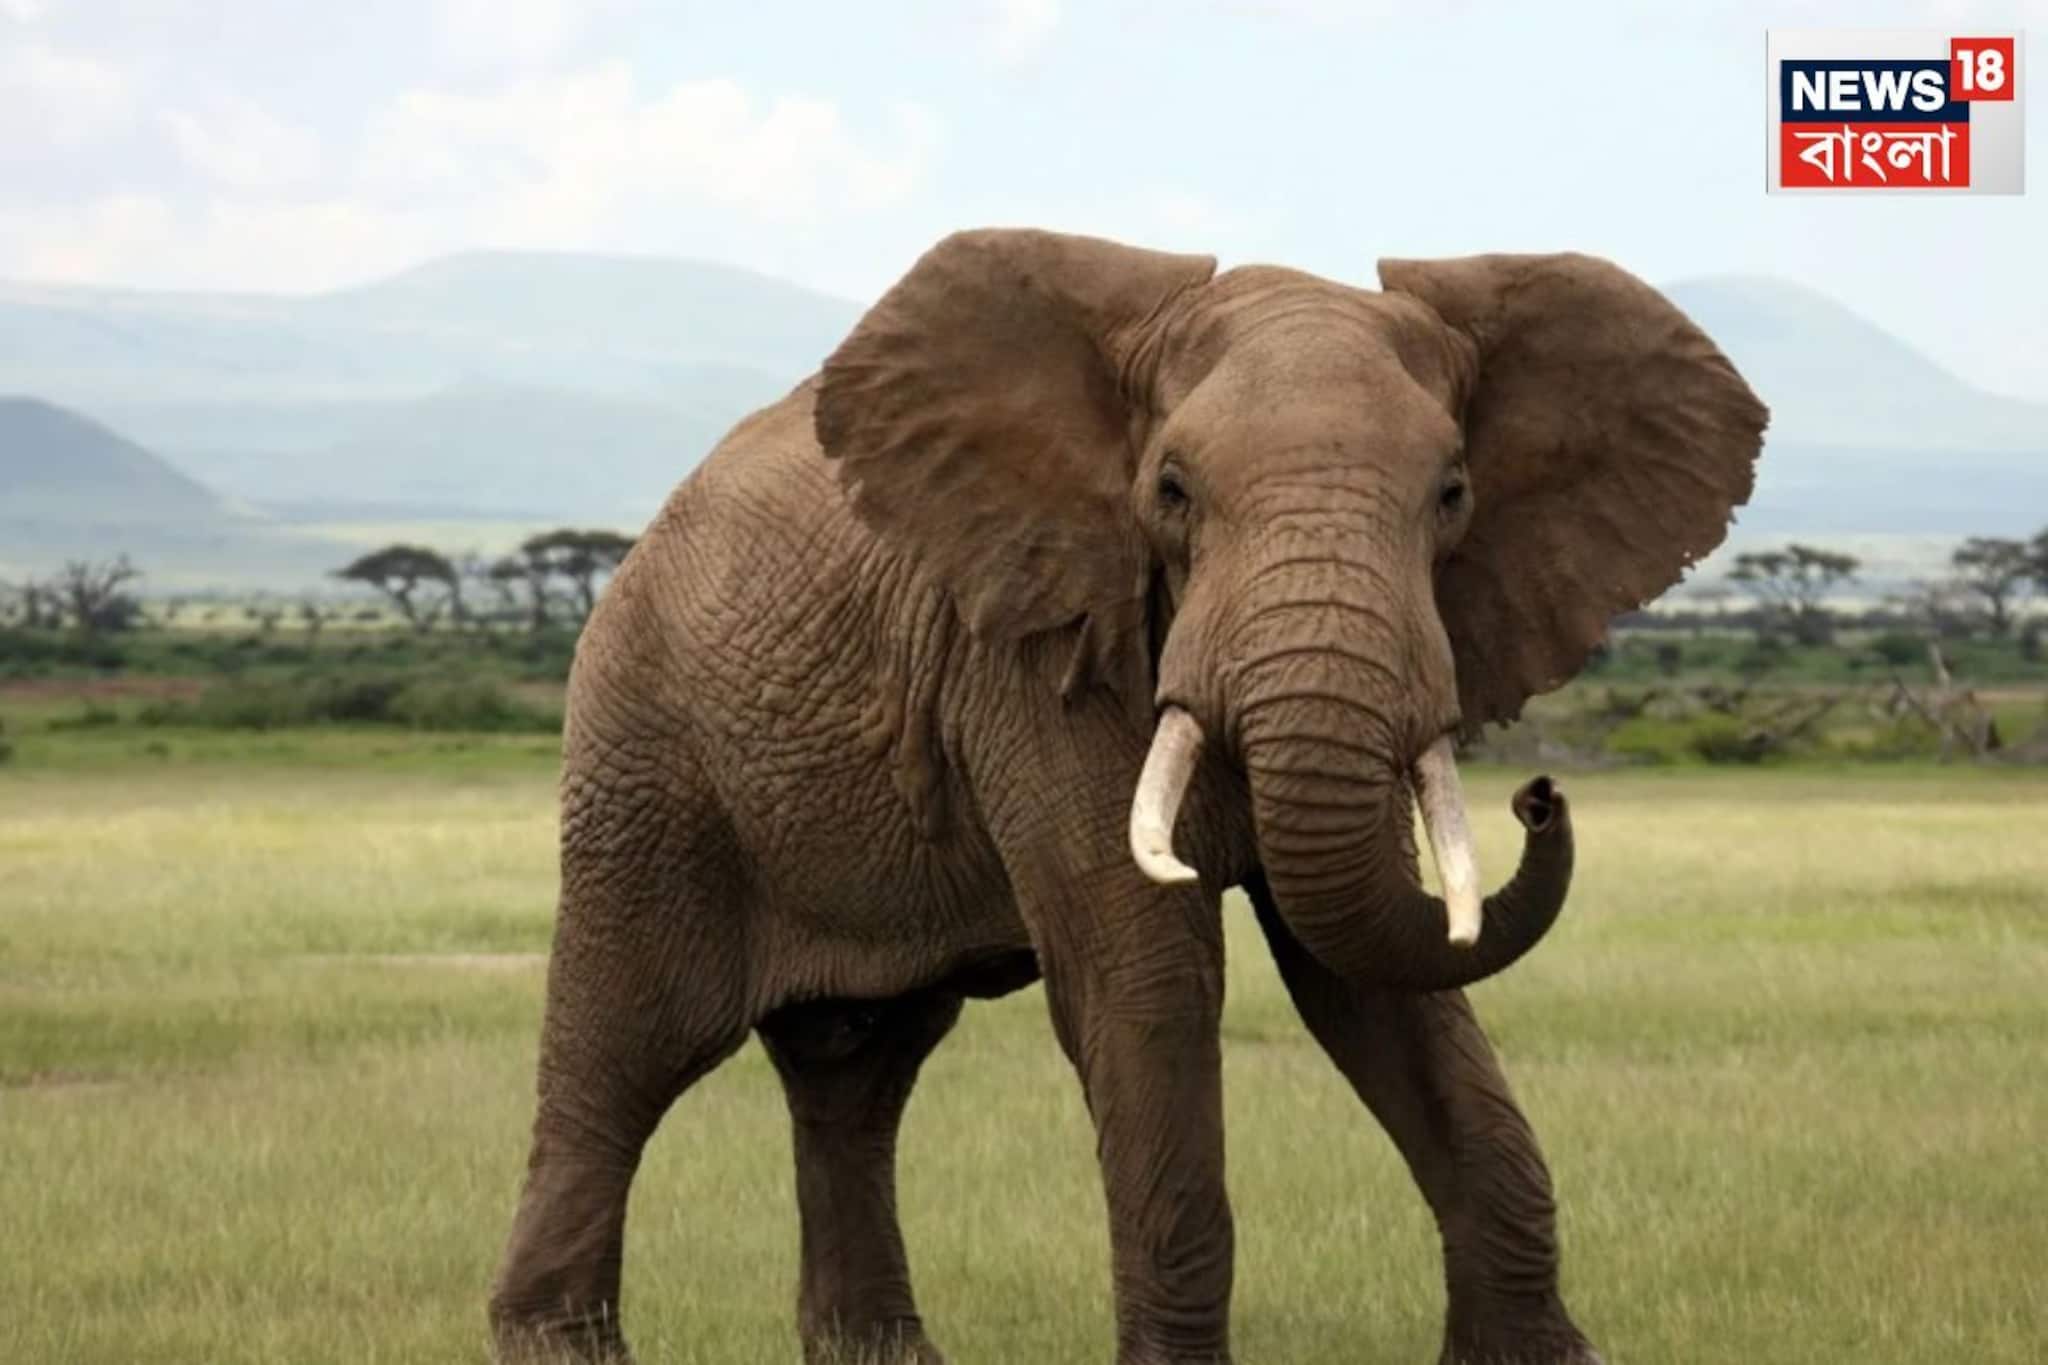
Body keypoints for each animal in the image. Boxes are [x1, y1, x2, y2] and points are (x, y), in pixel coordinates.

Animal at [488, 229, 1766, 1365]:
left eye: (1451, 493)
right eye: (1170, 490)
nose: (1538, 799)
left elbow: (1377, 981)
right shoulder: (1035, 651)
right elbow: (1148, 982)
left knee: (854, 1075)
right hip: (644, 759)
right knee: (624, 1050)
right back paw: (558, 1347)